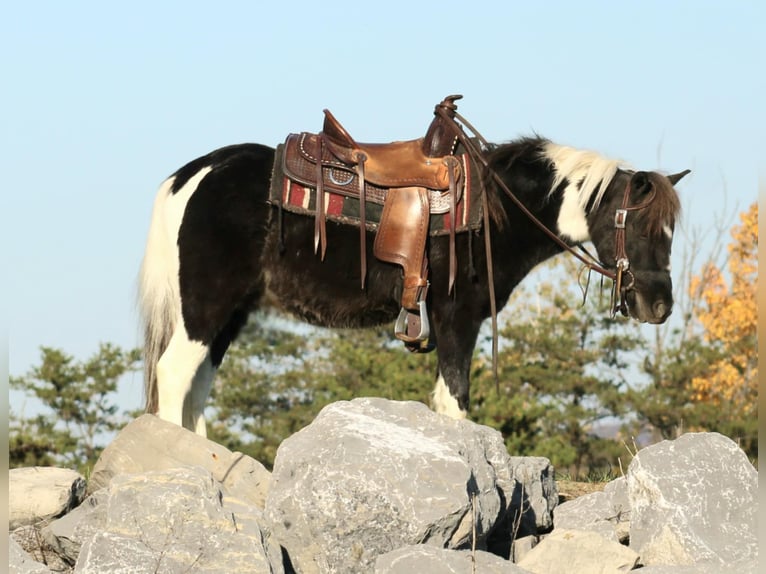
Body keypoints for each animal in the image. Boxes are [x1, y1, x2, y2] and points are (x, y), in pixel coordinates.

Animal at [136, 104, 688, 436]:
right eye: (642, 228)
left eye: (670, 231)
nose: (660, 306)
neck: (494, 210)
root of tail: (191, 176)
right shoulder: (458, 318)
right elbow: (456, 400)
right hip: (204, 307)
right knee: (174, 373)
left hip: (228, 316)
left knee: (196, 389)